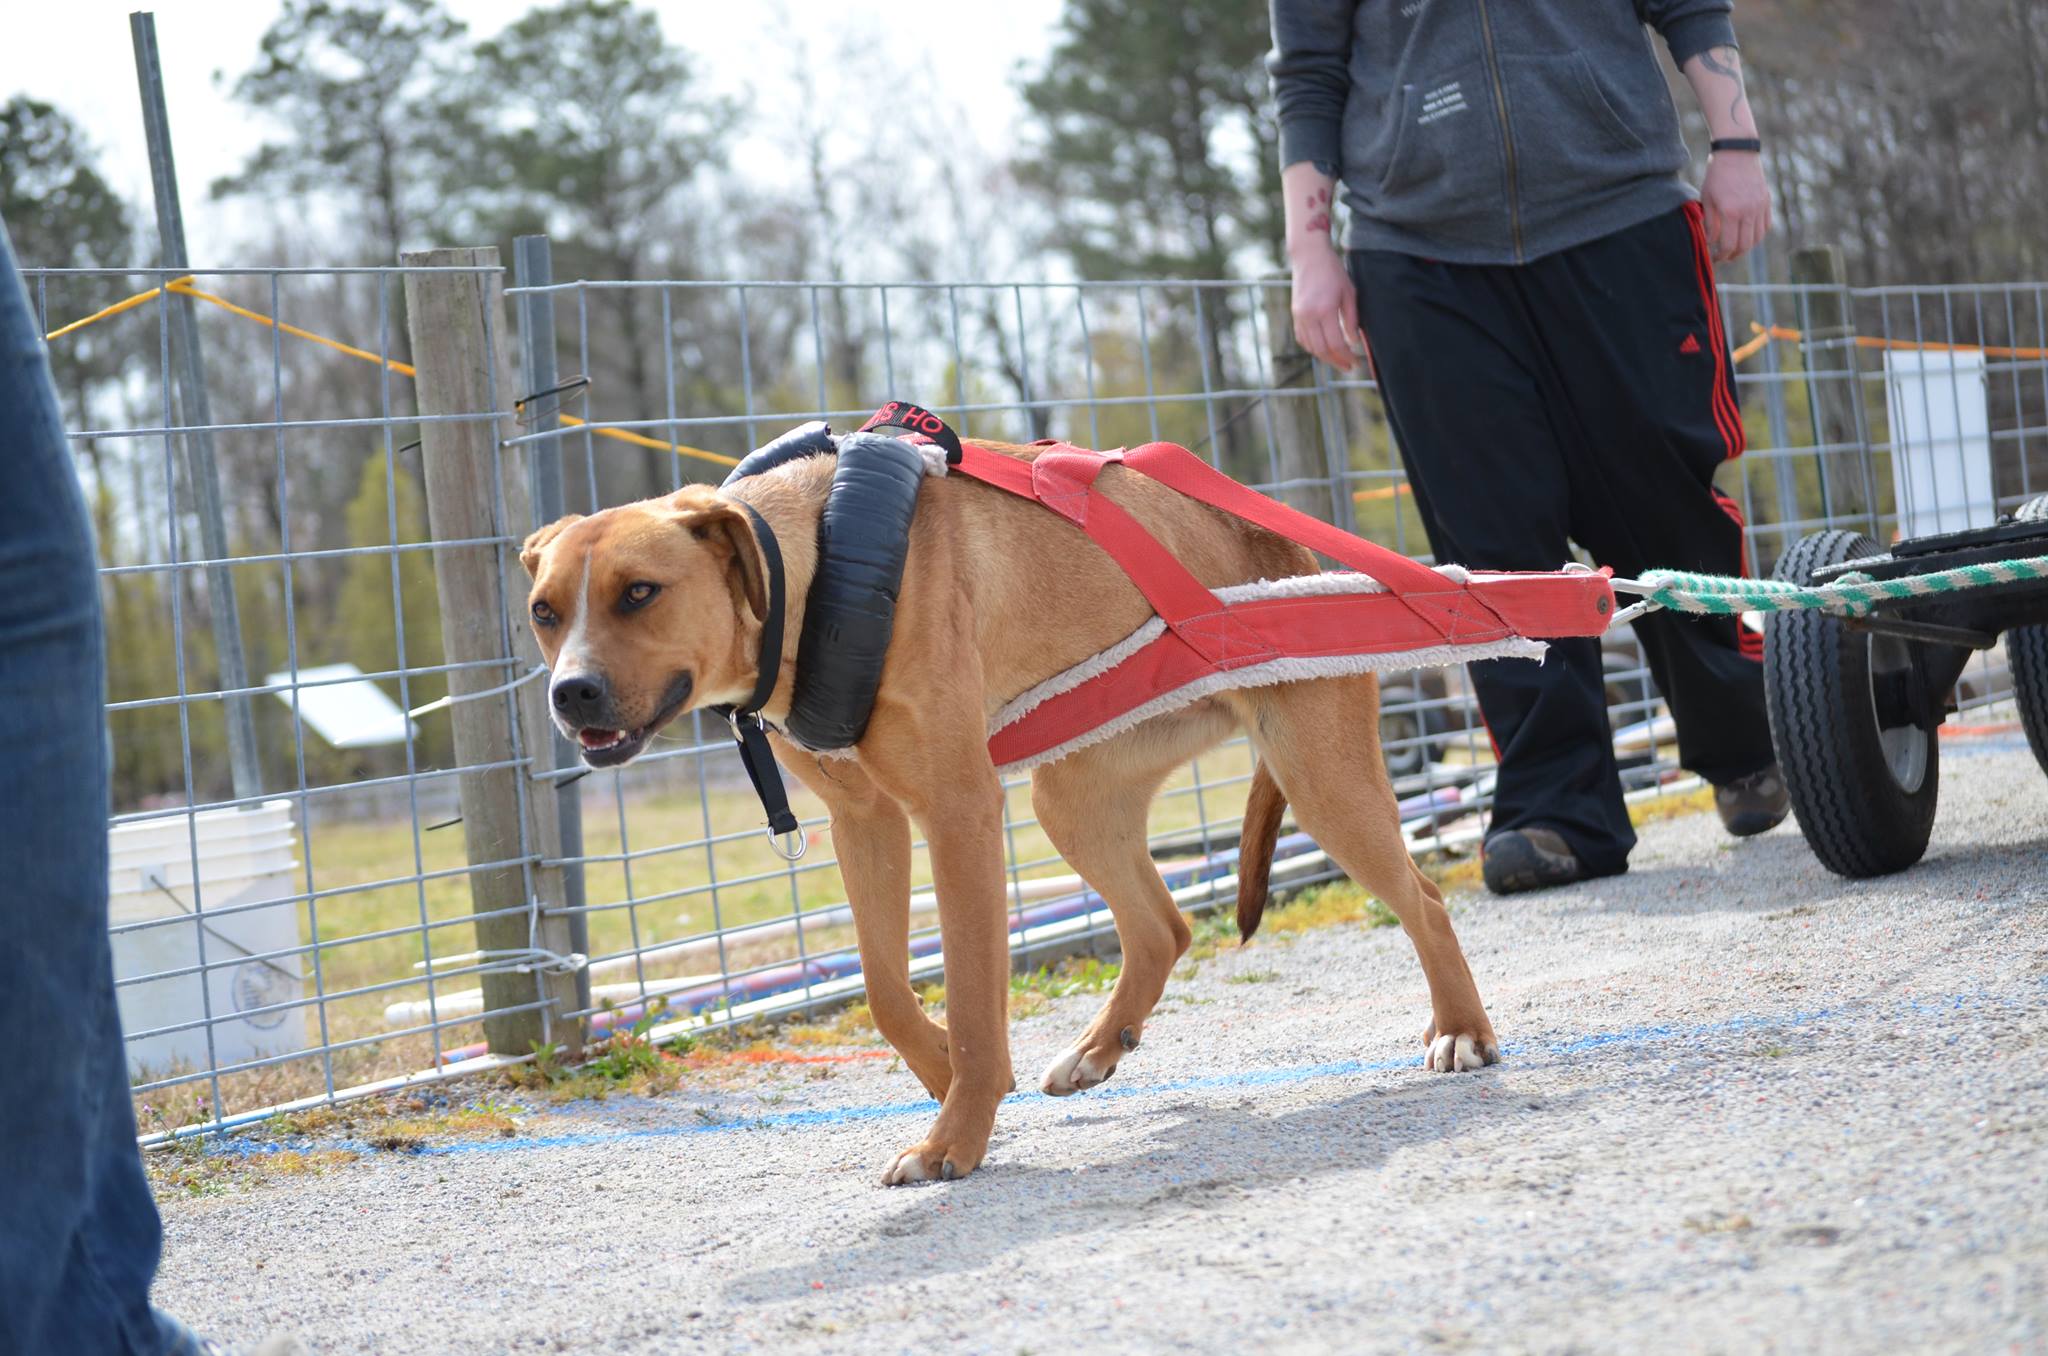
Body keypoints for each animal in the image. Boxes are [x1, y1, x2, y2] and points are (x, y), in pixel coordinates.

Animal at [520, 440, 1499, 1188]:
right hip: (1074, 798)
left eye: (640, 592)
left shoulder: (956, 814)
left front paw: (956, 1135)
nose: (570, 694)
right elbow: (884, 988)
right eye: (543, 612)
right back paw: (1100, 1047)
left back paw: (1460, 1030)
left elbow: (972, 995)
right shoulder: (866, 824)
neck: (815, 573)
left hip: (1322, 777)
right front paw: (943, 1071)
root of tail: (1293, 549)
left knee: (1424, 900)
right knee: (1163, 926)